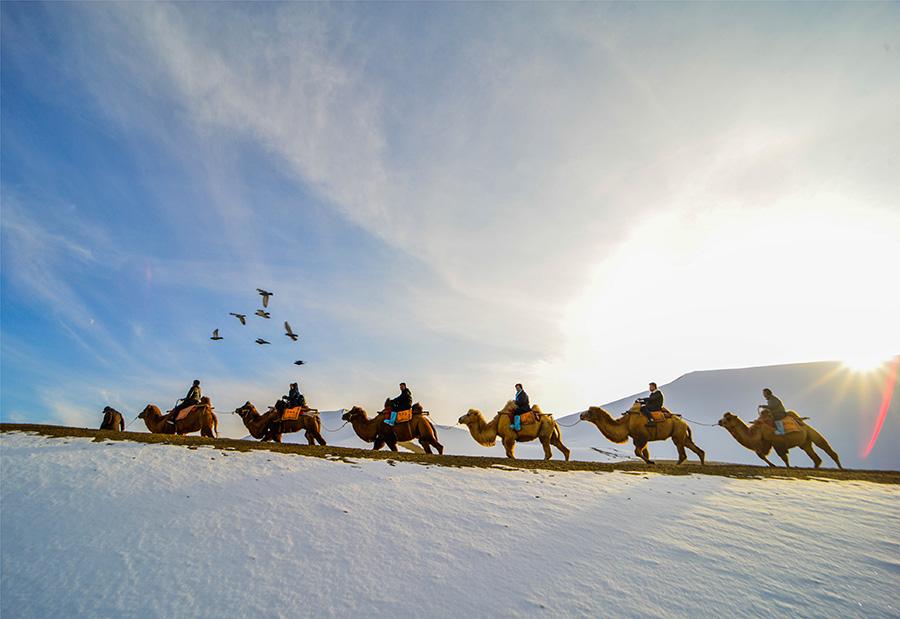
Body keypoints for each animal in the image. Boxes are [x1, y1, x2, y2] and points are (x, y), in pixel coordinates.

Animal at [580, 402, 708, 464]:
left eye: (590, 412)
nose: (581, 415)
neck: (626, 423)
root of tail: (685, 423)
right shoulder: (637, 438)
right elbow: (644, 453)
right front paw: (649, 462)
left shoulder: (642, 437)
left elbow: (637, 452)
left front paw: (651, 462)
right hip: (681, 434)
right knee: (692, 447)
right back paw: (702, 464)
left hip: (677, 433)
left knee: (682, 451)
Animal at [716, 412, 844, 470]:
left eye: (728, 418)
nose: (719, 421)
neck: (756, 433)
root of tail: (801, 421)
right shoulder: (763, 445)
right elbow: (761, 455)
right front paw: (772, 465)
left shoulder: (777, 443)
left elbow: (784, 458)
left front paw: (787, 467)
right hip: (804, 442)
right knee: (815, 456)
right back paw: (816, 467)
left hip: (811, 433)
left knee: (825, 447)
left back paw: (840, 467)